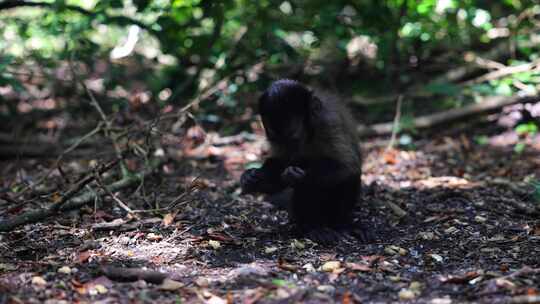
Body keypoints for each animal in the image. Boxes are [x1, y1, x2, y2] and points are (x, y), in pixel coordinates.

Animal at [240, 79, 368, 245]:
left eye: (294, 139)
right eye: (278, 141)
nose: (291, 151)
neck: (310, 134)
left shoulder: (328, 122)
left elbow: (348, 167)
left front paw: (299, 176)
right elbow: (278, 165)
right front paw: (251, 178)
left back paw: (339, 224)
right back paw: (310, 227)